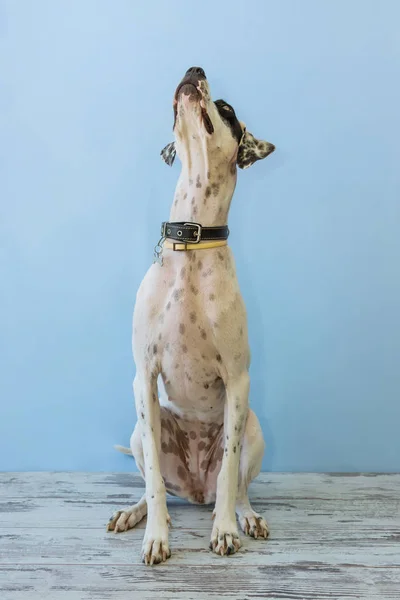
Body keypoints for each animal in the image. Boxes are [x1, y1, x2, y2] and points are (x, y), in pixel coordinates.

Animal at [106, 68, 276, 564]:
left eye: (226, 109)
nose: (193, 71)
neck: (193, 239)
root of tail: (195, 490)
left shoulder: (238, 380)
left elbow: (228, 473)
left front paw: (225, 531)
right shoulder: (143, 376)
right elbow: (155, 484)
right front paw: (156, 537)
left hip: (254, 428)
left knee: (235, 486)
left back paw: (244, 516)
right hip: (140, 434)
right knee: (154, 483)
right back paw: (132, 513)